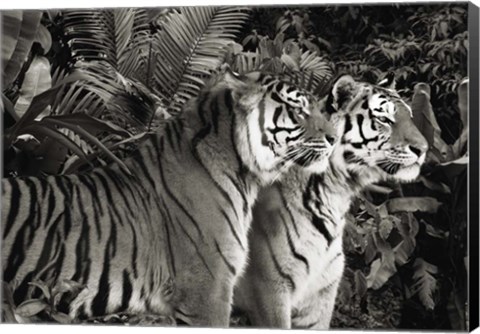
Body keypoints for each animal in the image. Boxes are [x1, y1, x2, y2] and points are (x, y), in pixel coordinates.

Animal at [232, 73, 428, 328]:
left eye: (410, 117)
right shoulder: (269, 290)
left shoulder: (321, 294)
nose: (423, 149)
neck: (336, 194)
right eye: (384, 119)